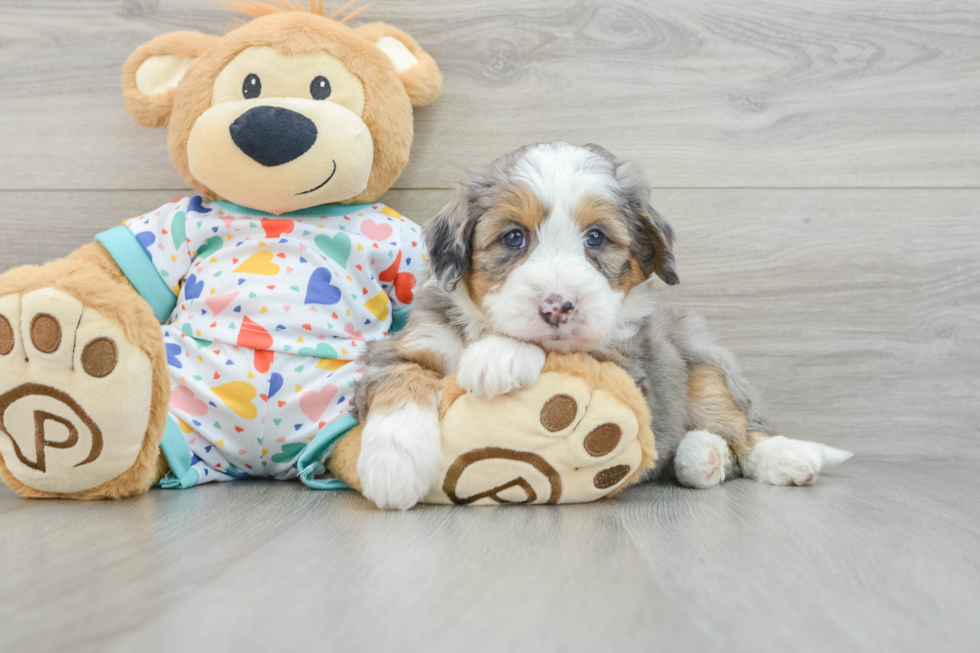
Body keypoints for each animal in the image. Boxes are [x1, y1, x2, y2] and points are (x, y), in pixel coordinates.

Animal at [352, 143, 848, 510]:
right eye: (513, 237)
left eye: (596, 237)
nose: (558, 307)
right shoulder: (410, 345)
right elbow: (402, 380)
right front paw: (392, 467)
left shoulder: (627, 369)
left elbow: (568, 350)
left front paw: (499, 355)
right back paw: (700, 456)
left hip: (704, 366)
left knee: (743, 427)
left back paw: (785, 456)